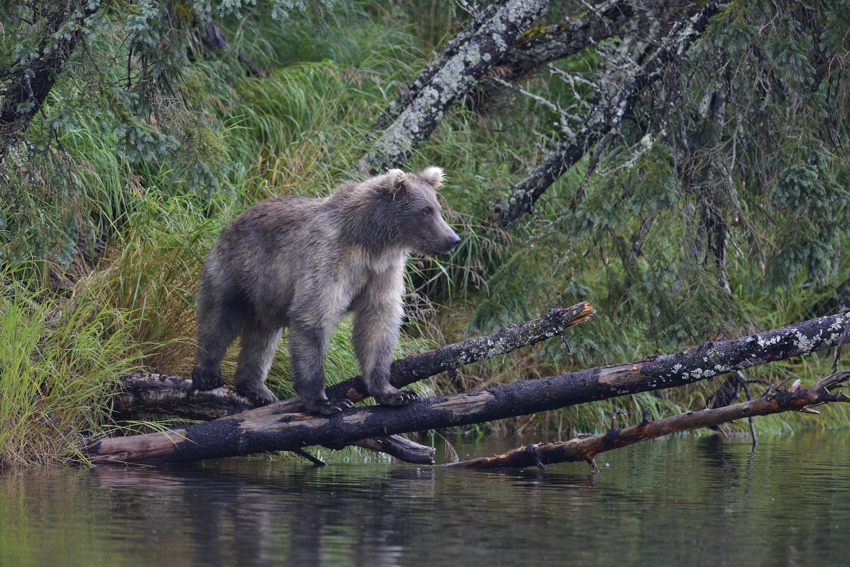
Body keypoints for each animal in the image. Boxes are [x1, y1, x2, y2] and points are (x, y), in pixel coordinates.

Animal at [190, 166, 460, 414]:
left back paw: (257, 389)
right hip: (237, 269)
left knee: (263, 336)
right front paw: (327, 401)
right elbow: (313, 316)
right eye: (425, 211)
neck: (372, 243)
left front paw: (396, 393)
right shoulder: (329, 257)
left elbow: (378, 324)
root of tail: (235, 219)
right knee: (219, 319)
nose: (453, 239)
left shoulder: (382, 273)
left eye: (437, 208)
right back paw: (207, 375)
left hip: (269, 294)